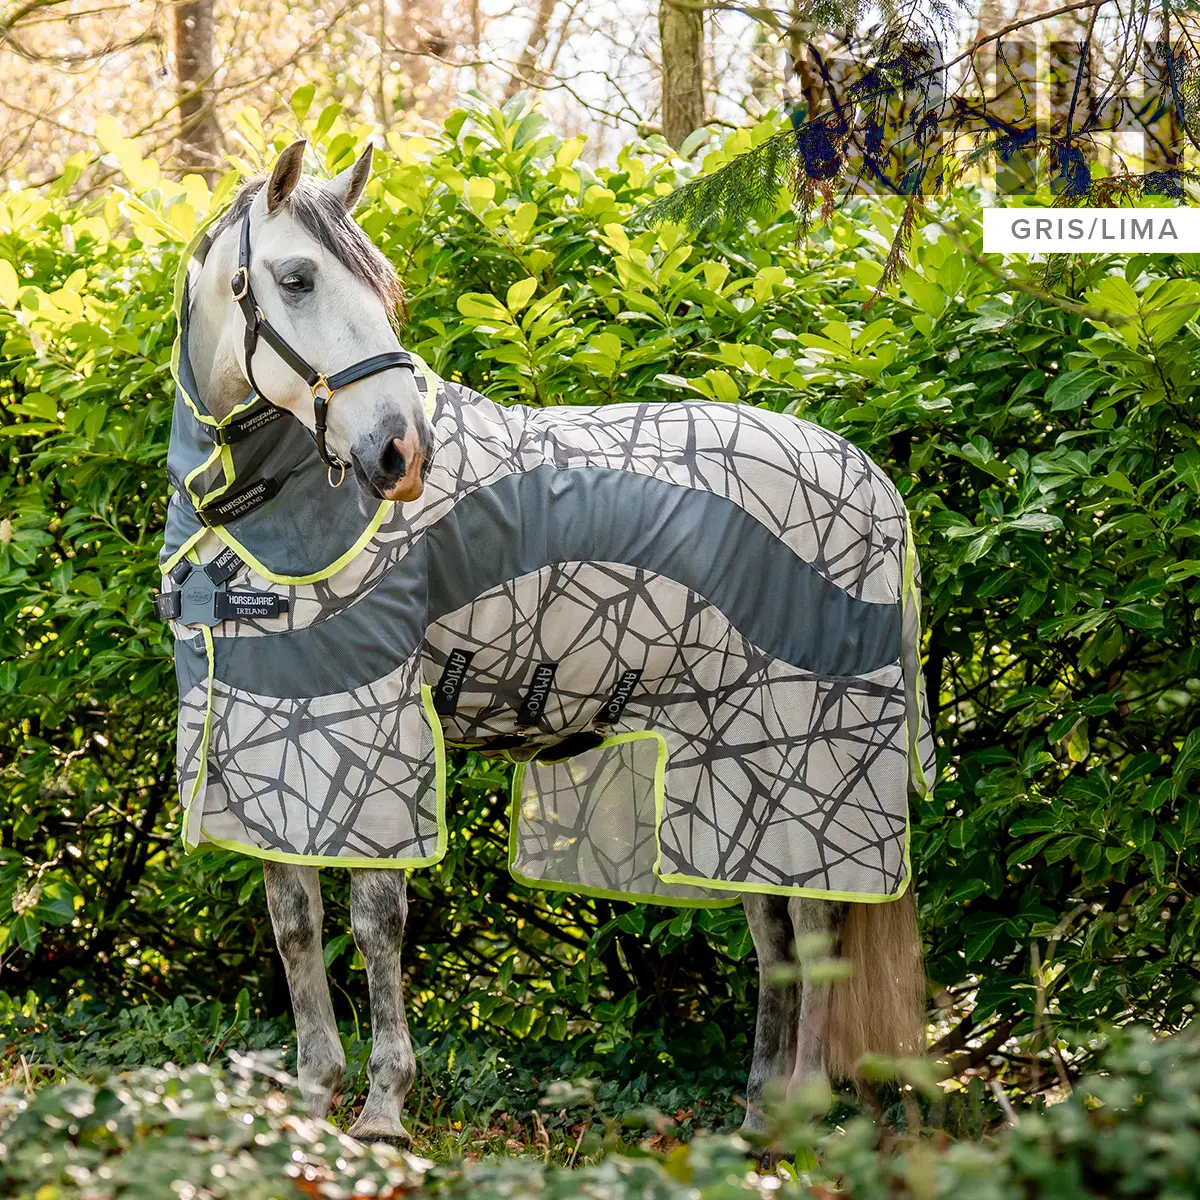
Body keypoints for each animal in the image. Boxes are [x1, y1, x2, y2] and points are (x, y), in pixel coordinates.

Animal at [166, 138, 929, 1143]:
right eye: (297, 280)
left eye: (383, 286)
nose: (401, 454)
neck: (263, 514)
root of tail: (873, 482)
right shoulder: (266, 736)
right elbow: (295, 925)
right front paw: (311, 1094)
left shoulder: (373, 740)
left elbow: (375, 919)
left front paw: (383, 1108)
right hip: (734, 769)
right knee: (774, 933)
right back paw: (757, 1117)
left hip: (811, 759)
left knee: (815, 927)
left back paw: (798, 1113)